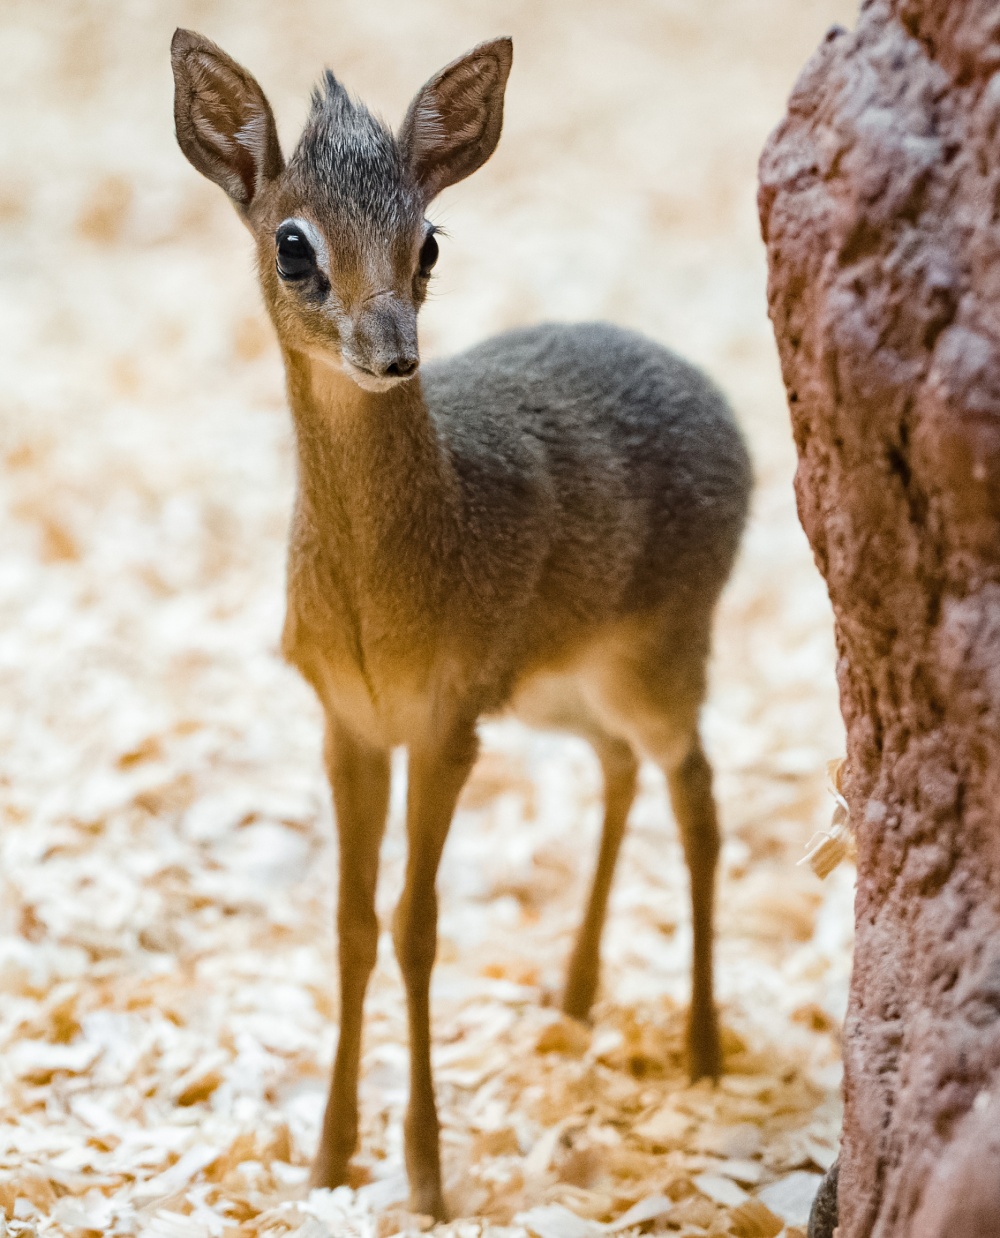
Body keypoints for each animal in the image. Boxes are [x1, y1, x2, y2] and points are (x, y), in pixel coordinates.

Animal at [172, 29, 752, 1218]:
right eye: (293, 247)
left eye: (428, 240)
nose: (393, 352)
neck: (376, 585)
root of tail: (722, 404)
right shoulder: (351, 728)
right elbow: (352, 924)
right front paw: (330, 1156)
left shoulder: (445, 726)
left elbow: (416, 924)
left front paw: (430, 1175)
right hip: (557, 692)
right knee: (621, 769)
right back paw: (575, 993)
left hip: (659, 662)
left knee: (700, 796)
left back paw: (703, 1045)